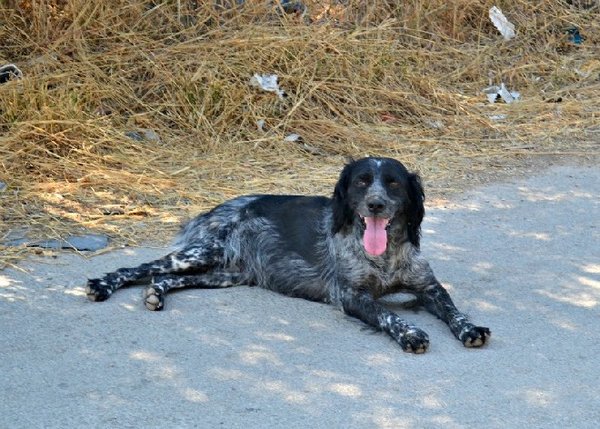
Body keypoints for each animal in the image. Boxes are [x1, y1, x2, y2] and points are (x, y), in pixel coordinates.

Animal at [86, 156, 490, 352]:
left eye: (393, 183)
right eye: (362, 182)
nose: (376, 204)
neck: (384, 255)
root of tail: (218, 207)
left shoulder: (428, 287)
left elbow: (453, 310)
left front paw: (469, 328)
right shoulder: (350, 295)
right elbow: (387, 315)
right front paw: (409, 333)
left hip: (225, 274)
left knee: (164, 277)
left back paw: (156, 294)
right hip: (204, 252)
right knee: (141, 267)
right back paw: (102, 285)